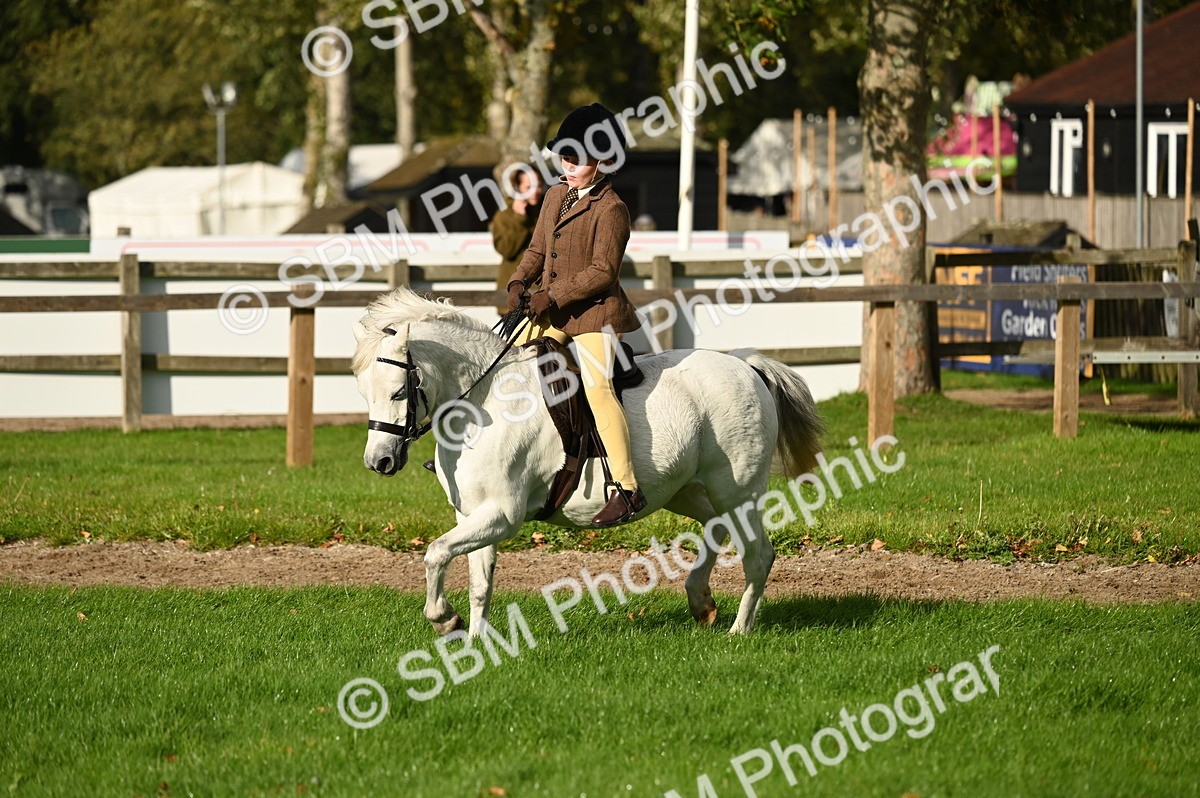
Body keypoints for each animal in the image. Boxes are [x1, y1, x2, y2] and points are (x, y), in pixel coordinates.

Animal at [352, 288, 825, 634]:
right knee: (717, 525)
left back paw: (738, 631)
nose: (380, 461)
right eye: (363, 392)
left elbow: (434, 554)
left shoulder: (502, 515)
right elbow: (479, 582)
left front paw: (444, 620)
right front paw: (472, 642)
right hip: (683, 490)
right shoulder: (471, 514)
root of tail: (745, 366)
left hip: (737, 490)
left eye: (398, 391)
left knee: (758, 554)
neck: (484, 402)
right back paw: (701, 601)